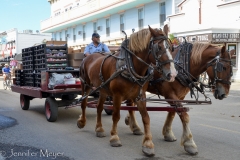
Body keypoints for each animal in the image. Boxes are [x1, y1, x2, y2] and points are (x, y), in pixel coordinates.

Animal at [76, 24, 177, 156]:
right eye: (158, 48)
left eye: (171, 47)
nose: (173, 74)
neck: (129, 65)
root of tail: (89, 57)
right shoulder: (117, 95)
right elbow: (116, 116)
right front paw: (114, 137)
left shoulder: (140, 95)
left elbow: (146, 117)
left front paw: (148, 144)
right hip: (85, 85)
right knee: (83, 103)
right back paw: (82, 122)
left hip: (103, 90)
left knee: (99, 107)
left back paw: (99, 129)